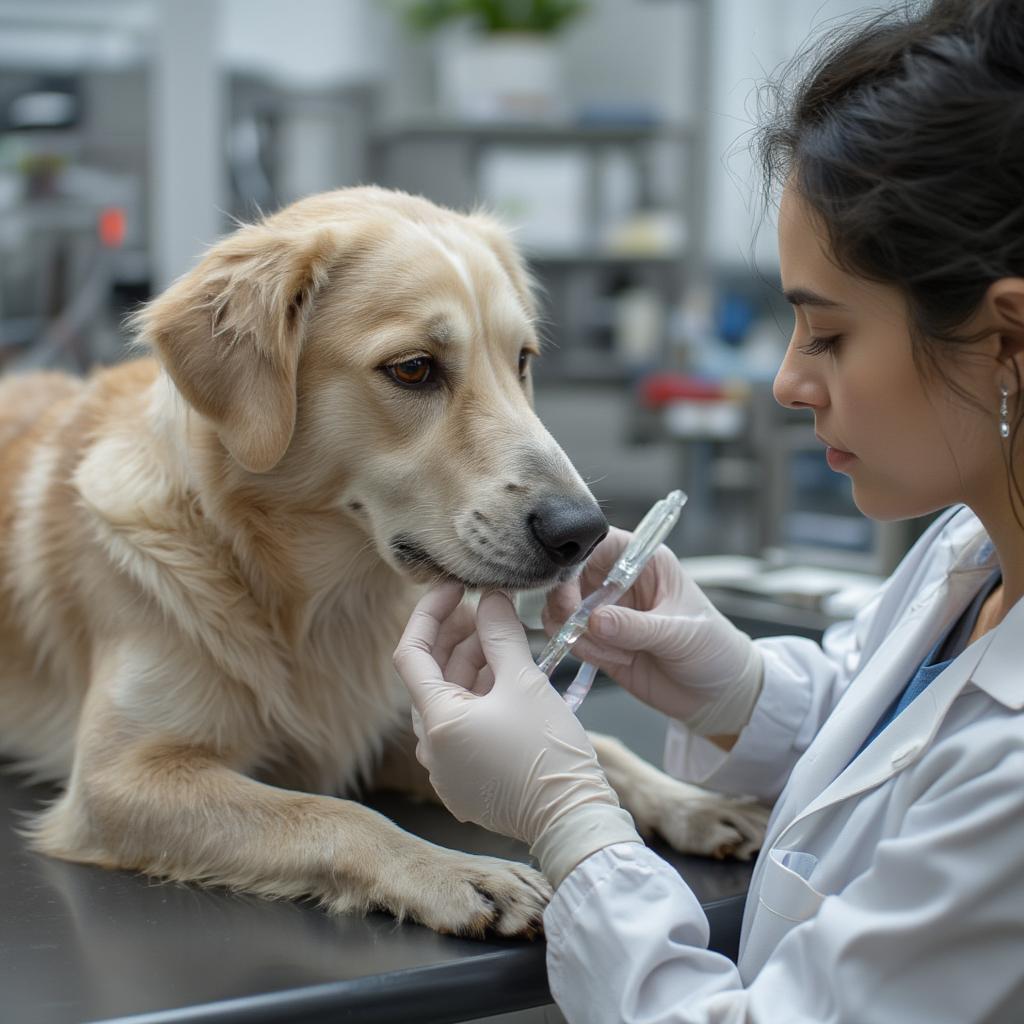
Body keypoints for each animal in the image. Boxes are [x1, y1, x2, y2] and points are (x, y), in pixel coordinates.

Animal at [0, 184, 770, 937]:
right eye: (413, 369)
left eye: (521, 360)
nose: (582, 533)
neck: (309, 601)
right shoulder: (117, 780)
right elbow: (328, 812)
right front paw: (457, 873)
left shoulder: (407, 721)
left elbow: (597, 743)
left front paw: (689, 800)